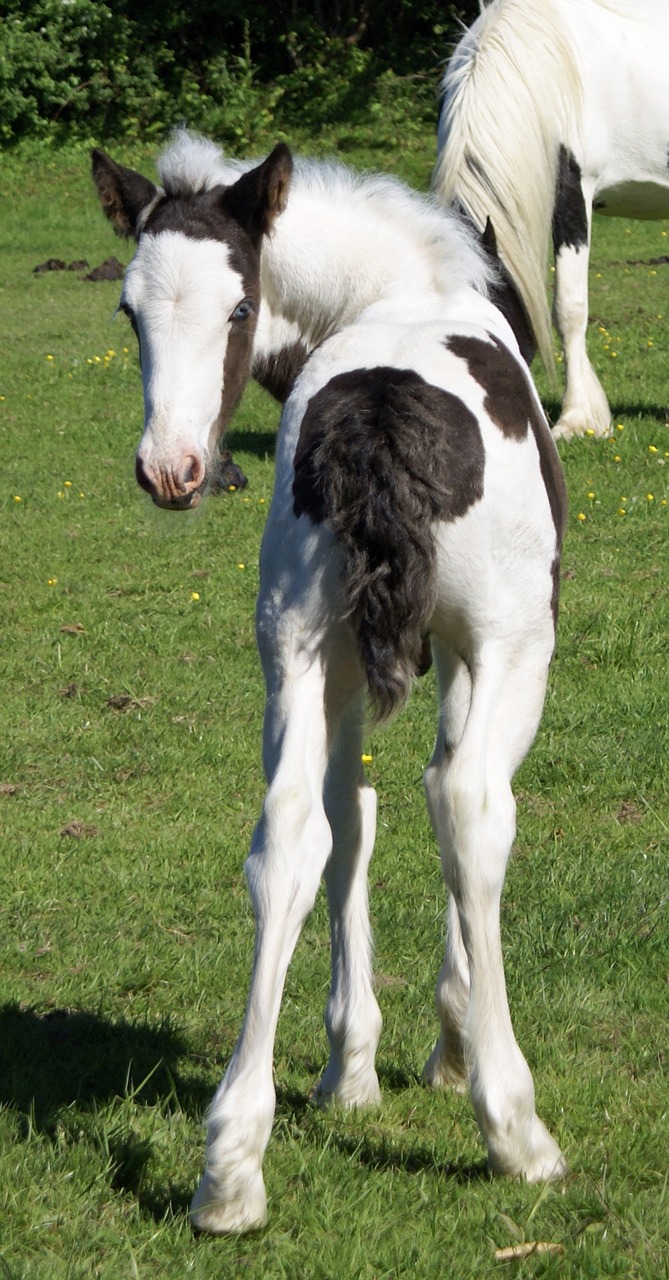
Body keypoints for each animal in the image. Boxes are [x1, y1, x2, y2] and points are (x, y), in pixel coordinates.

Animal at [91, 129, 567, 1228]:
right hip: (514, 643)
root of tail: (380, 414)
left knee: (288, 837)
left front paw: (349, 1066)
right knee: (472, 805)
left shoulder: (345, 661)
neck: (399, 293)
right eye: (132, 311)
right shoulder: (479, 654)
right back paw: (515, 1127)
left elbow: (348, 817)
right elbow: (447, 797)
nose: (171, 469)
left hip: (299, 649)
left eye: (235, 307)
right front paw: (448, 1039)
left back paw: (231, 1163)